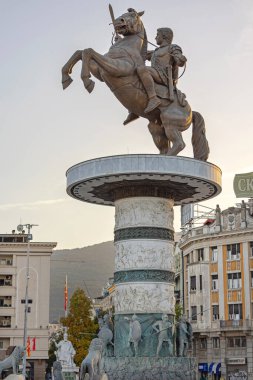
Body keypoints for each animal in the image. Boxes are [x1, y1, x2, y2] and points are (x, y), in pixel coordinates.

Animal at [61, 8, 210, 160]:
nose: (118, 21)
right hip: (156, 127)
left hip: (170, 124)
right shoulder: (100, 72)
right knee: (164, 146)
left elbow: (88, 51)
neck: (126, 48)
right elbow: (80, 52)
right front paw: (66, 77)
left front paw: (87, 81)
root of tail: (190, 111)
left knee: (179, 143)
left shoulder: (117, 68)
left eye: (134, 15)